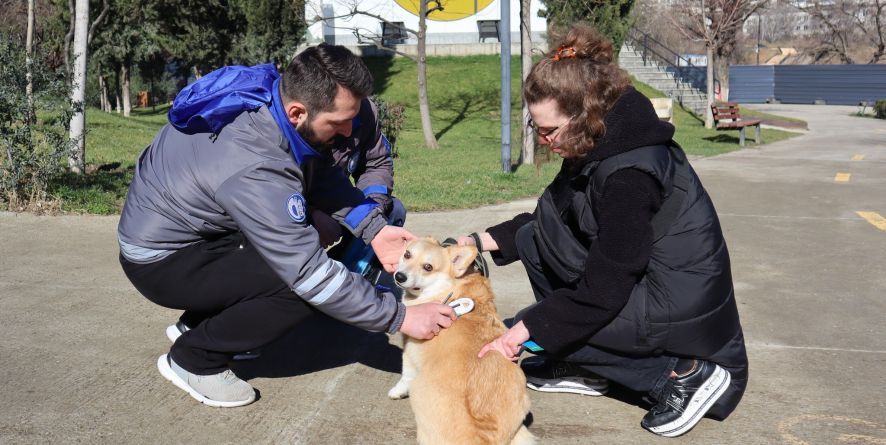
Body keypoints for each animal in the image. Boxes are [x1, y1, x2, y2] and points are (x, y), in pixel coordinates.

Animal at [390, 234, 536, 442]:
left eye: (428, 267)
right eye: (407, 254)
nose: (399, 276)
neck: (450, 288)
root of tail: (481, 438)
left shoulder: (409, 347)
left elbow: (405, 375)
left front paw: (397, 392)